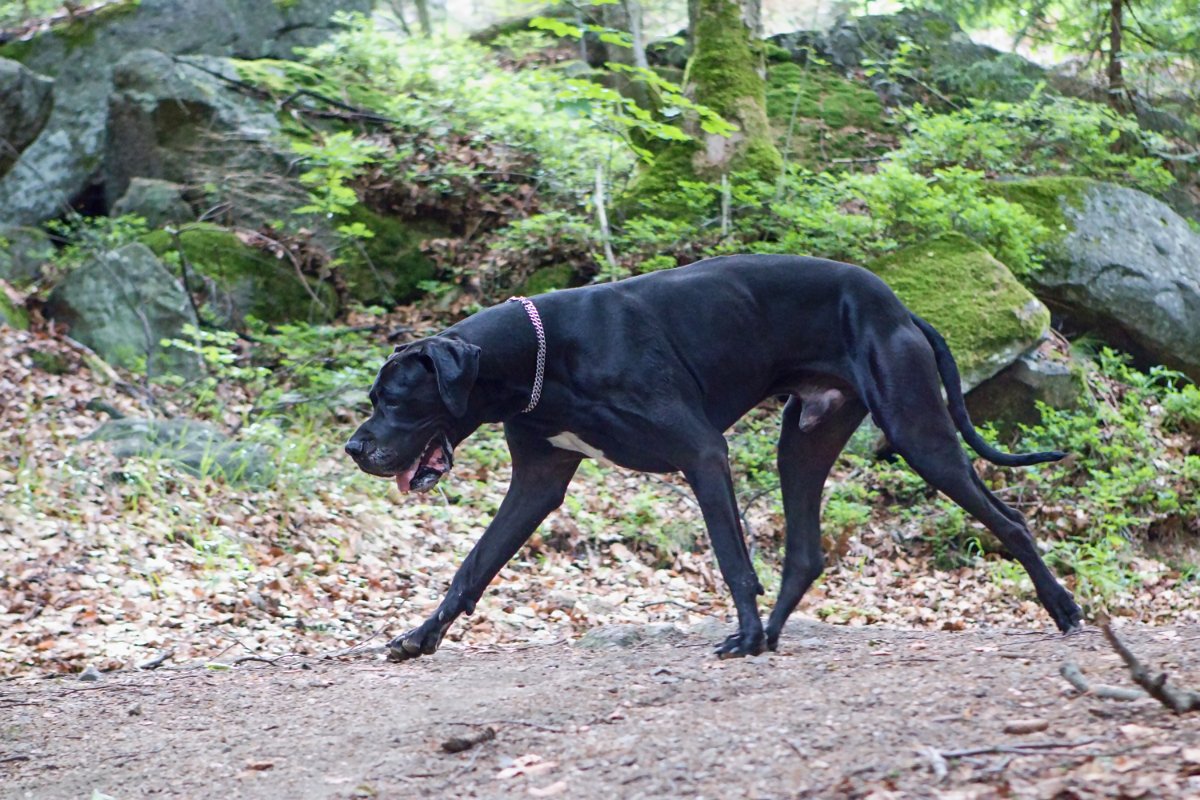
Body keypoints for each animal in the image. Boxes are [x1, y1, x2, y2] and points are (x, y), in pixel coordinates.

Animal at [345, 253, 1080, 662]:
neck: (538, 358)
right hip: (803, 442)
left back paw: (1064, 609)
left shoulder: (702, 453)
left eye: (393, 398)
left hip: (918, 432)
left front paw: (743, 632)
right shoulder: (538, 478)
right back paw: (775, 636)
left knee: (1009, 519)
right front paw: (419, 638)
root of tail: (902, 308)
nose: (354, 447)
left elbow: (731, 559)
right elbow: (472, 567)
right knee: (806, 553)